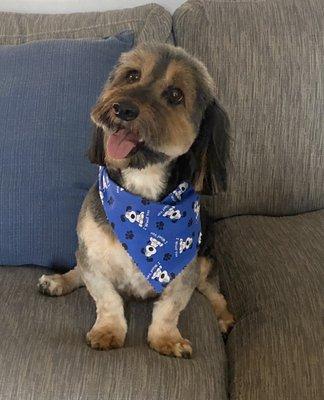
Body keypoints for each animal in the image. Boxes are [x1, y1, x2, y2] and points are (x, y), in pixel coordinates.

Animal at [38, 44, 234, 360]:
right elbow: (107, 299)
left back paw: (223, 317)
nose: (124, 108)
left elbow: (169, 309)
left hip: (206, 259)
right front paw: (108, 331)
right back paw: (58, 281)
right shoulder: (92, 256)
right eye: (131, 76)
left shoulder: (186, 271)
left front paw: (166, 338)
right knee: (78, 270)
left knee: (214, 292)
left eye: (176, 94)